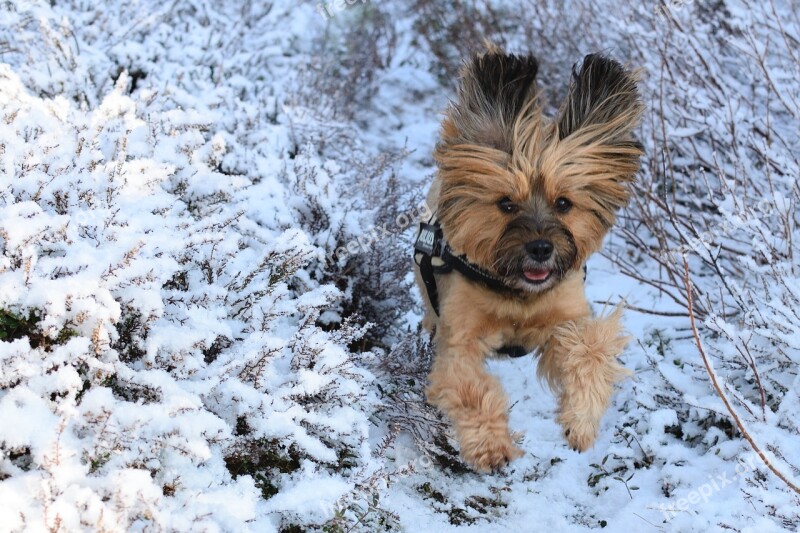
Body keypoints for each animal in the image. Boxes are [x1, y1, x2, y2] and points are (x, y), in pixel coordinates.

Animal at [412, 44, 644, 470]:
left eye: (564, 203)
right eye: (506, 204)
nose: (540, 248)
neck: (517, 293)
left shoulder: (564, 318)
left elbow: (589, 350)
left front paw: (579, 420)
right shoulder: (461, 337)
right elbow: (469, 385)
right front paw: (491, 446)